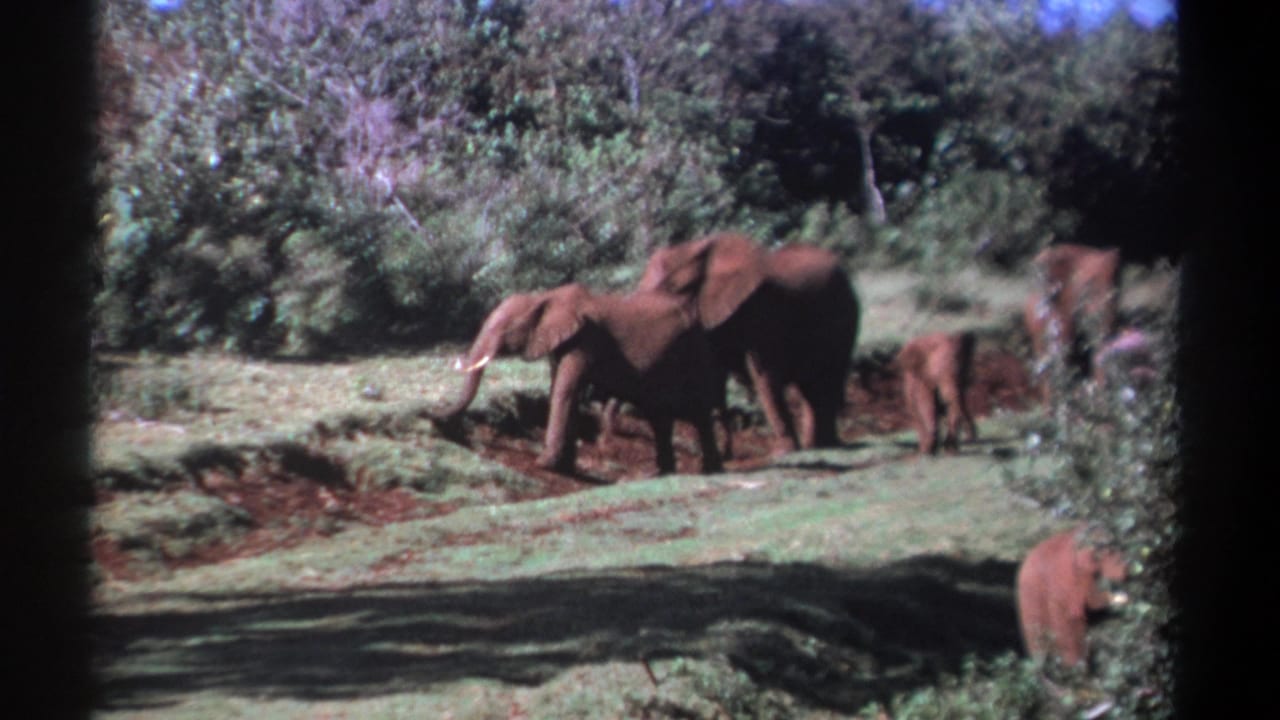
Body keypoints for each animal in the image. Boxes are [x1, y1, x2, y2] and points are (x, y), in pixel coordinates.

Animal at [433, 283, 723, 476]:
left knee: (697, 408)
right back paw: (662, 473)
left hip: (693, 346)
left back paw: (711, 471)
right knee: (658, 413)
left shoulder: (586, 339)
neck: (545, 297)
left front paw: (544, 464)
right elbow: (560, 389)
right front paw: (565, 466)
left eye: (507, 330)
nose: (432, 415)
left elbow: (566, 389)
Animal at [634, 232, 860, 455]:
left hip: (844, 314)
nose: (727, 451)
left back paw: (825, 444)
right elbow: (713, 375)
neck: (696, 247)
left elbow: (764, 375)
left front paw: (782, 453)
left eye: (673, 287)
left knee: (829, 377)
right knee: (811, 385)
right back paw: (817, 445)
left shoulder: (759, 310)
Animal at [1016, 525, 1129, 668]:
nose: (1126, 572)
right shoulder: (1074, 573)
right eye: (1107, 550)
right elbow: (1090, 602)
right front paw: (1117, 598)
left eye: (1114, 547)